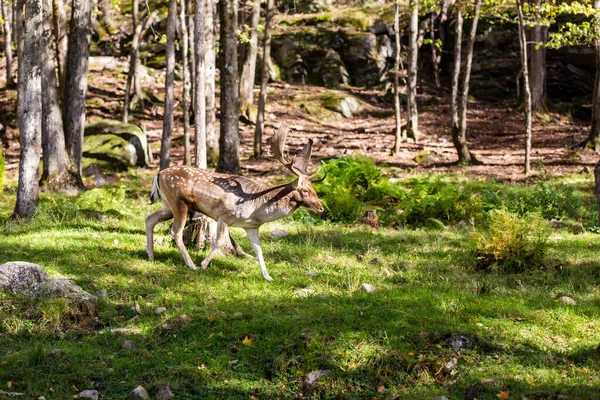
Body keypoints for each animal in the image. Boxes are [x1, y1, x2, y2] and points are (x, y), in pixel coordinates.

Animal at [145, 125, 324, 282]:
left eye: (313, 188)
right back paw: (191, 265)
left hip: (168, 205)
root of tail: (158, 174)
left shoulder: (251, 226)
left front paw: (268, 277)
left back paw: (150, 255)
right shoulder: (224, 215)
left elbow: (259, 250)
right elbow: (218, 243)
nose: (321, 207)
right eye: (305, 191)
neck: (256, 209)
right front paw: (203, 265)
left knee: (149, 218)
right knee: (175, 231)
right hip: (179, 203)